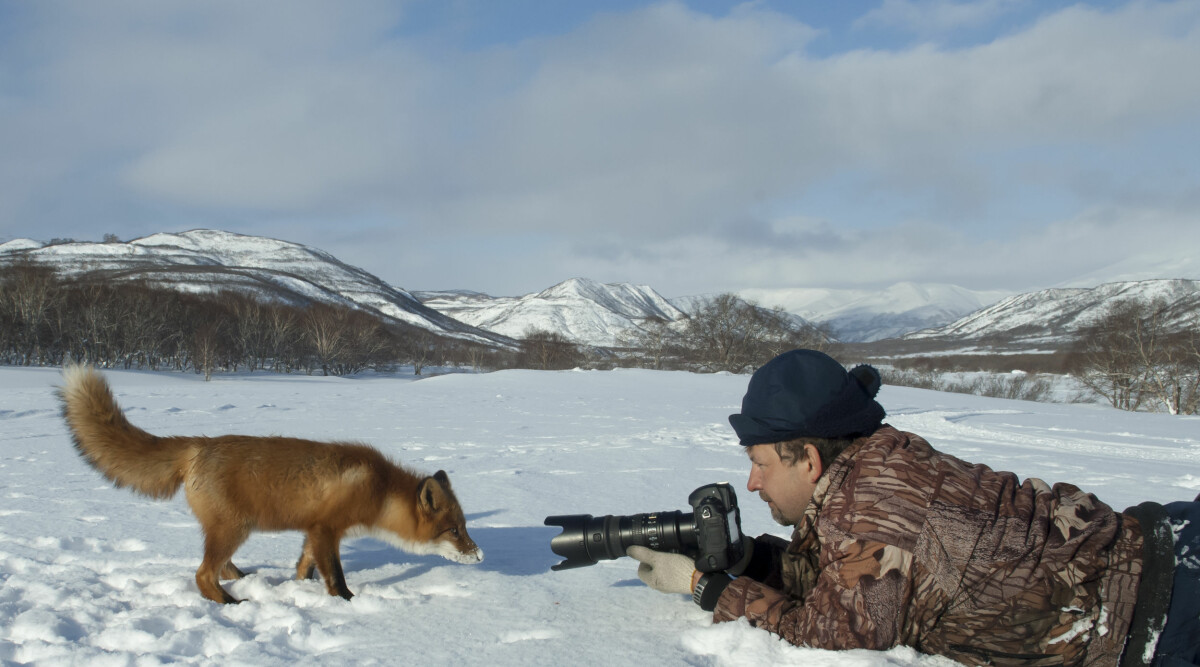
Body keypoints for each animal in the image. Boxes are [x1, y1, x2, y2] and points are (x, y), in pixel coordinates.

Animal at [55, 364, 477, 604]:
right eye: (454, 530)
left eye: (464, 526)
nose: (479, 555)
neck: (379, 489)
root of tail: (199, 444)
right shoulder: (327, 529)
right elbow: (336, 578)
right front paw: (347, 603)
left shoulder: (313, 531)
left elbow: (305, 567)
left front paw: (299, 589)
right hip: (235, 528)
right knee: (203, 574)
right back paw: (230, 603)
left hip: (230, 530)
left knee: (220, 568)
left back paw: (246, 583)